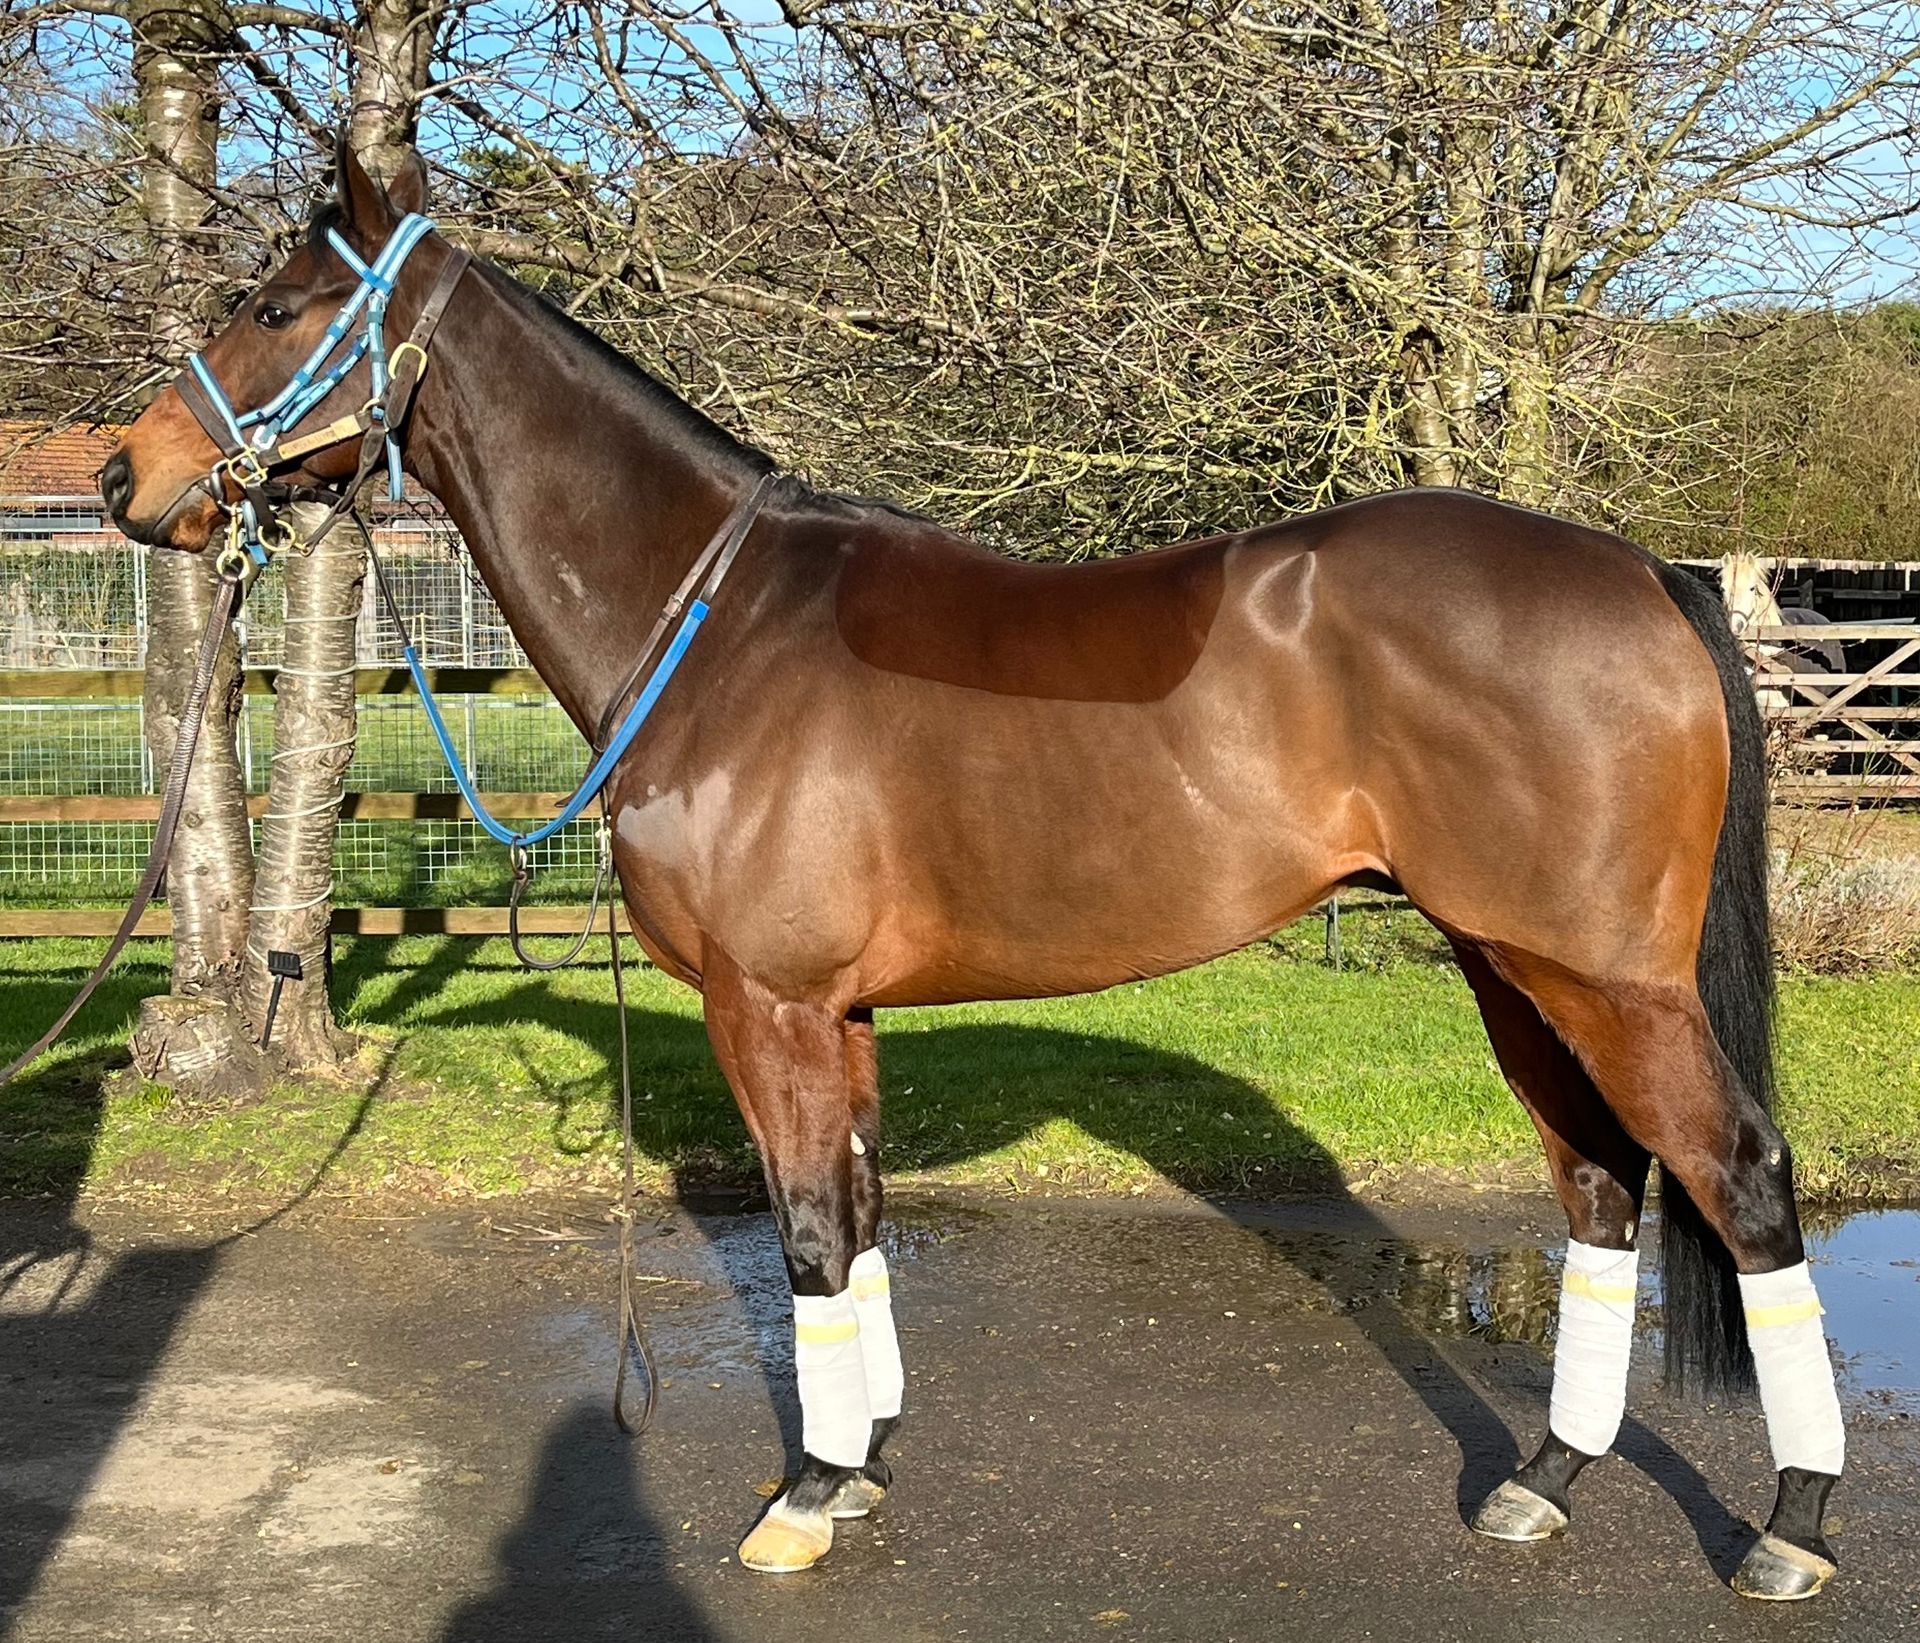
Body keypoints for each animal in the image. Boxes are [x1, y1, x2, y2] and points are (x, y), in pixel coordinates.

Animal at [101, 147, 1843, 1596]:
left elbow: (810, 1230)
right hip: (1509, 965)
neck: (718, 625)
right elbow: (863, 1215)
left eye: (274, 303)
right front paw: (863, 1464)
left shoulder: (770, 1004)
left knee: (1740, 1175)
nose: (126, 475)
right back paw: (1546, 1478)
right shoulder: (839, 1014)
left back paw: (1792, 1524)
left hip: (1602, 974)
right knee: (1604, 1184)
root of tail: (1643, 570)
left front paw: (805, 1496)